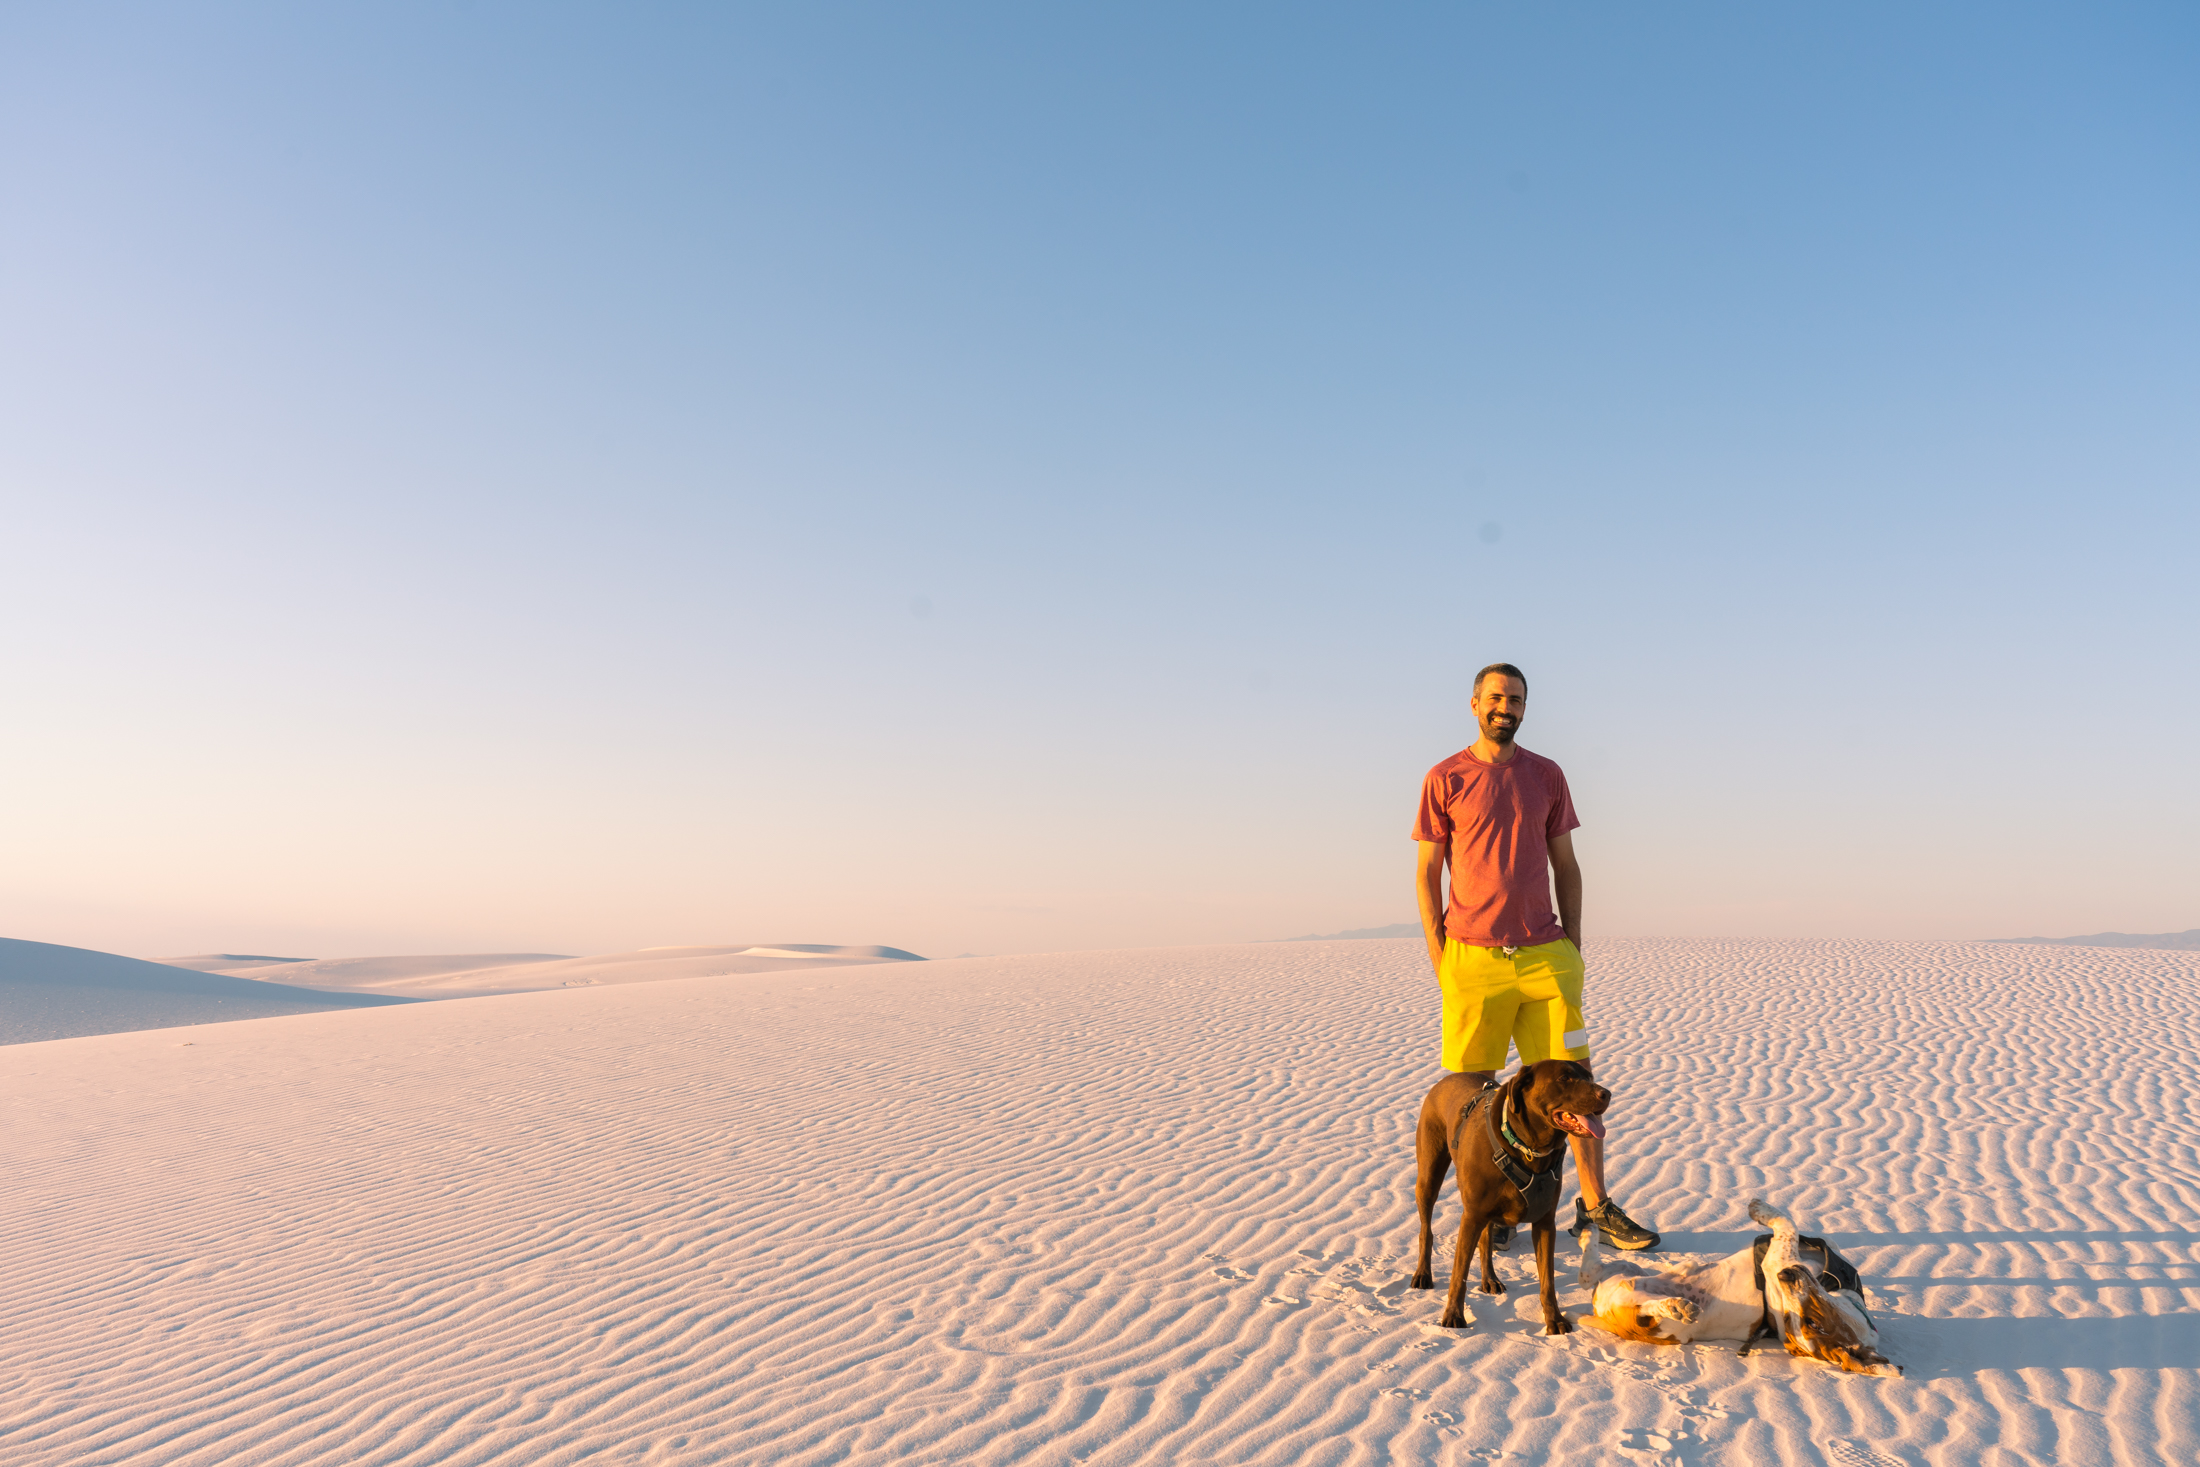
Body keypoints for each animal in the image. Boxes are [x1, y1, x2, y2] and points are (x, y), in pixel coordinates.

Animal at [1416, 1060, 1610, 1337]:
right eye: (1564, 1078)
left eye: (1589, 1077)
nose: (1606, 1094)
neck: (1528, 1150)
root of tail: (1444, 1081)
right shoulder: (1471, 1216)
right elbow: (1459, 1275)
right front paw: (1453, 1316)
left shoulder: (1544, 1223)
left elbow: (1547, 1280)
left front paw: (1554, 1319)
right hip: (1429, 1175)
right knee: (1426, 1229)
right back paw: (1423, 1273)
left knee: (1486, 1239)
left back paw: (1490, 1279)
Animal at [1584, 1196, 1909, 1381]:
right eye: (1795, 1319)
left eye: (1813, 1323)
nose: (1783, 1277)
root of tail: (1601, 1313)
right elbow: (1789, 1226)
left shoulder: (1778, 1257)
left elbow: (1787, 1226)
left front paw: (1759, 1209)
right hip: (1627, 1270)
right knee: (1591, 1272)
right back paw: (1590, 1234)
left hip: (1644, 1313)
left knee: (1607, 1286)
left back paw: (1677, 1305)